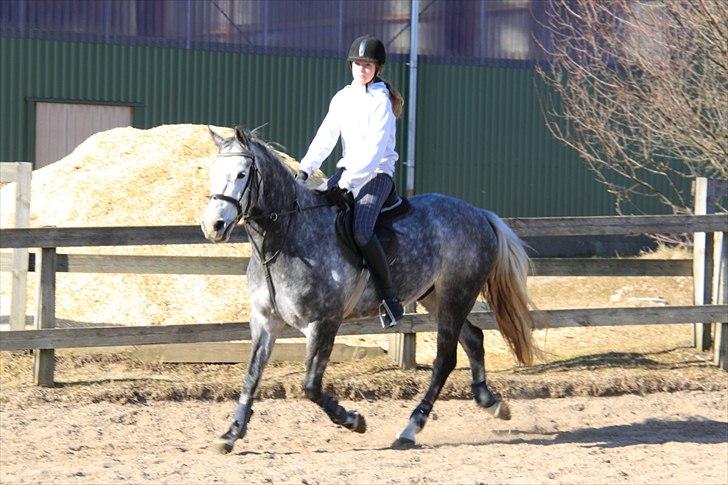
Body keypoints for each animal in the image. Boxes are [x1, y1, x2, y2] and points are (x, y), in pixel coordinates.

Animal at [202, 126, 536, 452]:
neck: (285, 238)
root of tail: (480, 214)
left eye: (242, 174)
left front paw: (353, 420)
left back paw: (410, 429)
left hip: (457, 293)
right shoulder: (265, 321)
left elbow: (311, 387)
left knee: (445, 359)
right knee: (473, 338)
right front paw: (232, 433)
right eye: (213, 172)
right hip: (436, 297)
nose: (213, 226)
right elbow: (251, 375)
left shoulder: (323, 323)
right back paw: (491, 402)